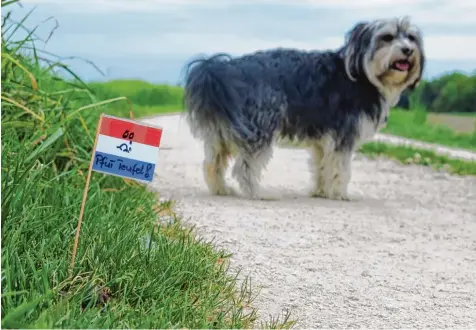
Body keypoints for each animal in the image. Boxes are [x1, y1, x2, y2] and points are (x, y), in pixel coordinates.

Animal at [182, 16, 424, 201]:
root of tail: (225, 68)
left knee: (212, 163)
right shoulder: (343, 137)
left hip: (223, 133)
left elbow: (321, 167)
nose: (408, 50)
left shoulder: (323, 140)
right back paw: (256, 193)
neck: (362, 73)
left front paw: (321, 192)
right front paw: (339, 194)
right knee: (245, 166)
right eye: (387, 37)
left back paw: (220, 189)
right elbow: (340, 169)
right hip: (260, 126)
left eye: (411, 37)